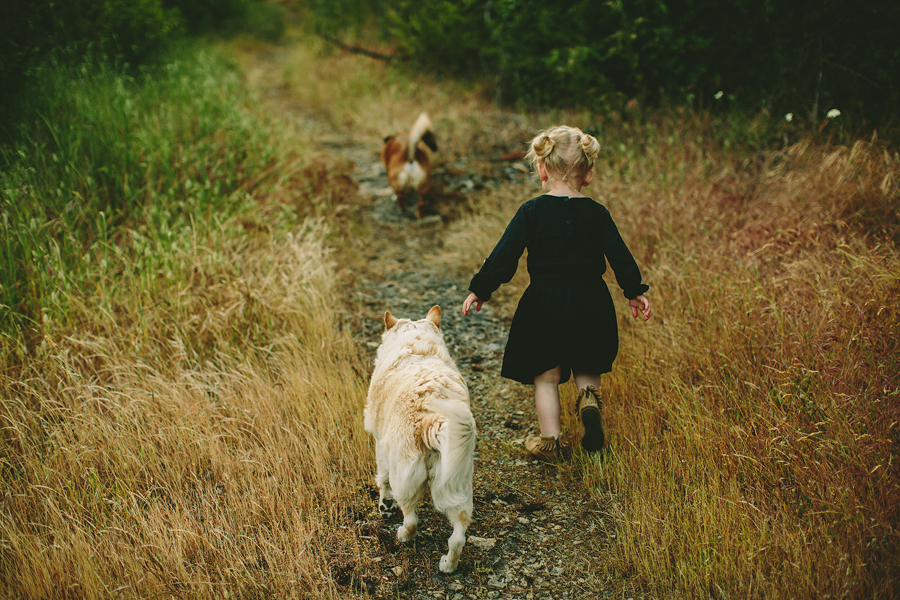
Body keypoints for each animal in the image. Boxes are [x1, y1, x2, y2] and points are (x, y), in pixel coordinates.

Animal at [366, 308, 478, 576]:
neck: (415, 344)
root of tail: (432, 419)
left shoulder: (380, 444)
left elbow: (381, 479)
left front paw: (383, 504)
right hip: (457, 483)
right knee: (458, 535)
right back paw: (448, 565)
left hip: (404, 479)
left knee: (411, 519)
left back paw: (403, 535)